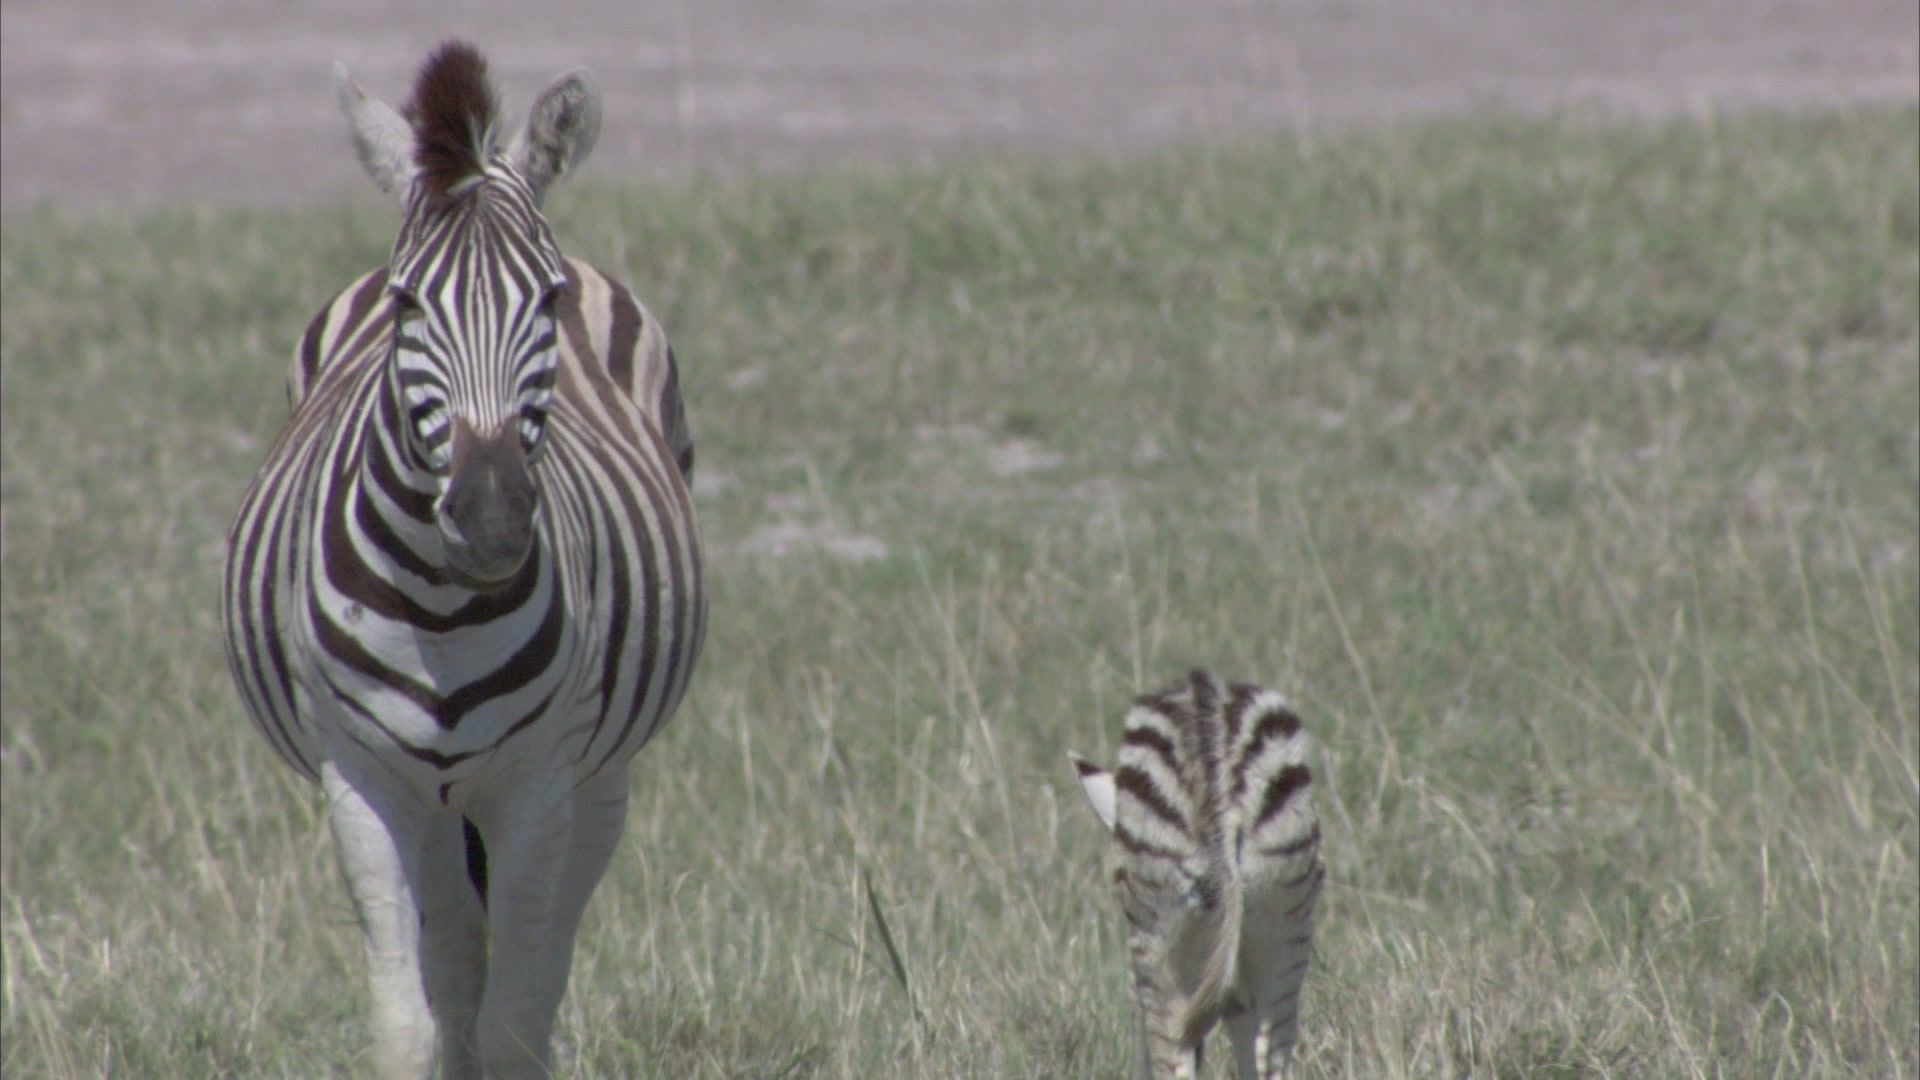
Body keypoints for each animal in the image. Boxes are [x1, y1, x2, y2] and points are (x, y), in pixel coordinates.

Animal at [224, 37, 706, 1068]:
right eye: (409, 306)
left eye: (548, 300)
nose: (489, 521)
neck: (444, 610)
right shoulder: (363, 785)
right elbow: (411, 1022)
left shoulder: (538, 785)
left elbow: (518, 1020)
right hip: (437, 806)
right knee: (453, 954)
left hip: (597, 776)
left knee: (541, 943)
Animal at [1075, 668, 1328, 1068]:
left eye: (1117, 880)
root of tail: (1222, 795)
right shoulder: (1239, 991)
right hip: (1284, 933)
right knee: (1268, 1056)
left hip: (1164, 952)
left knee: (1175, 1054)